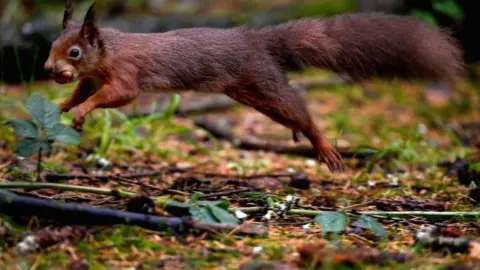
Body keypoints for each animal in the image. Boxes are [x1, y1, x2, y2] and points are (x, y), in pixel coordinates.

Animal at [45, 0, 464, 171]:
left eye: (75, 51)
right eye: (52, 44)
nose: (49, 68)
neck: (109, 51)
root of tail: (256, 39)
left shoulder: (127, 75)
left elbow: (115, 96)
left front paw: (81, 112)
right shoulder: (94, 78)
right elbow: (83, 92)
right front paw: (62, 107)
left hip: (263, 82)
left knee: (300, 109)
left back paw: (322, 144)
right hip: (251, 93)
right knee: (290, 113)